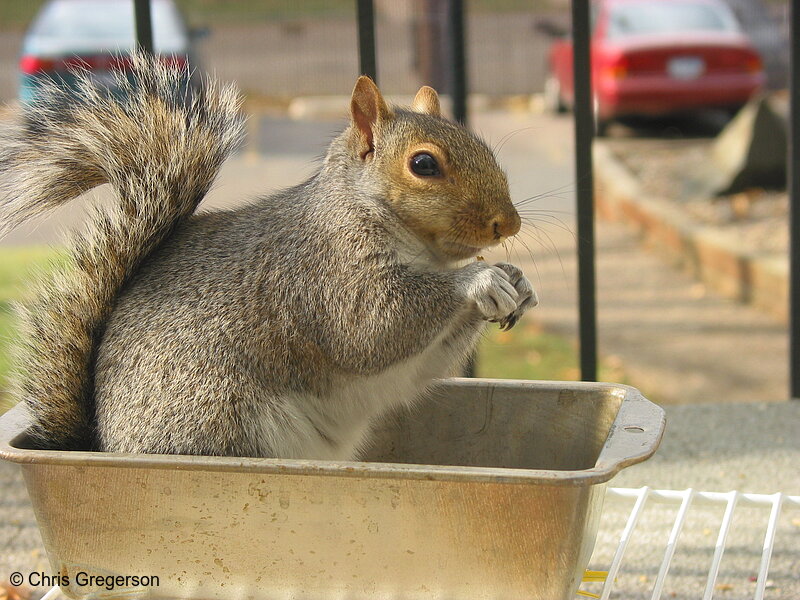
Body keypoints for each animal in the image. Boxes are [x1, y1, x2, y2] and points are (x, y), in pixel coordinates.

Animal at [1, 55, 536, 460]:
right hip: (215, 414)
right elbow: (374, 325)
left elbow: (424, 363)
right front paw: (481, 279)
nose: (507, 225)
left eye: (481, 145)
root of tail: (103, 441)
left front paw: (516, 282)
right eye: (423, 164)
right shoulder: (324, 273)